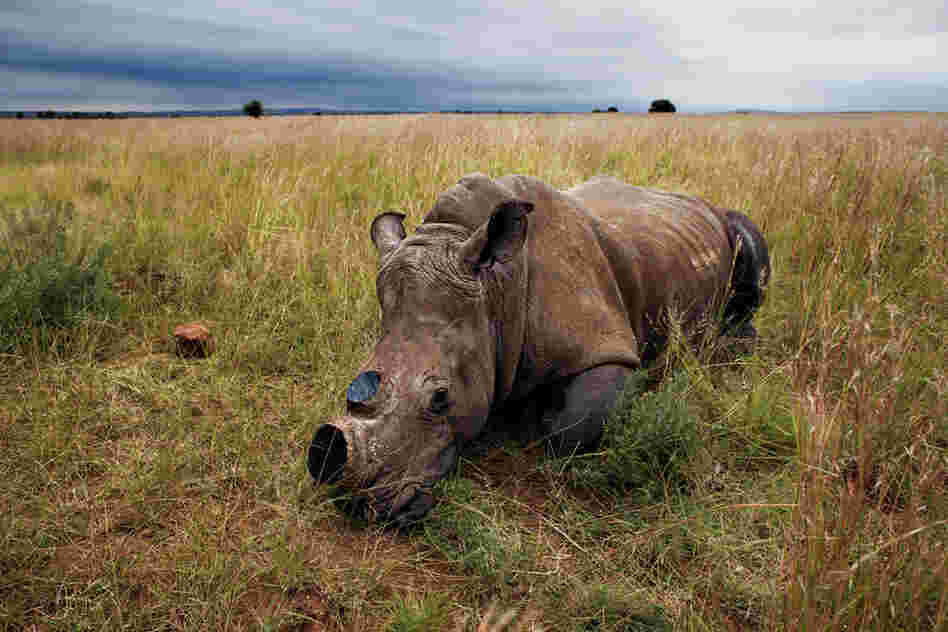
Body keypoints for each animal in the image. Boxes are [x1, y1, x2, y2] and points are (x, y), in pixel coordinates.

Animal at [308, 174, 770, 526]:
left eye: (440, 398)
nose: (356, 501)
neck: (496, 293)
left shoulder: (607, 348)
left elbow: (568, 431)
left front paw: (536, 417)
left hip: (726, 223)